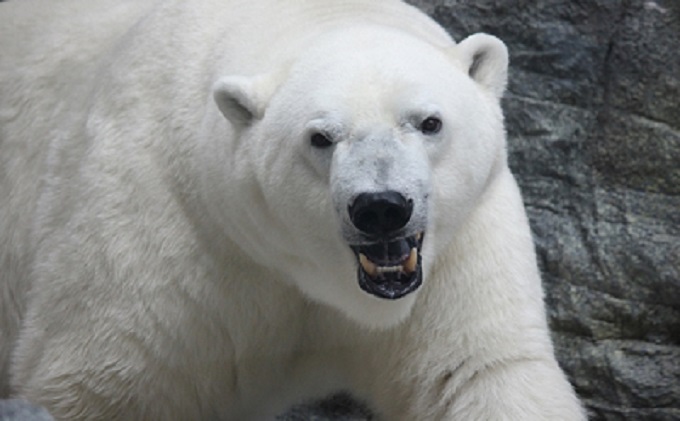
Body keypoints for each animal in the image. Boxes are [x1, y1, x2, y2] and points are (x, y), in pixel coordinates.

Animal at [0, 0, 584, 418]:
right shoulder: (165, 239)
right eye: (320, 137)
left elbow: (480, 373)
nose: (381, 207)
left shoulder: (463, 243)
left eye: (428, 121)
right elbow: (103, 383)